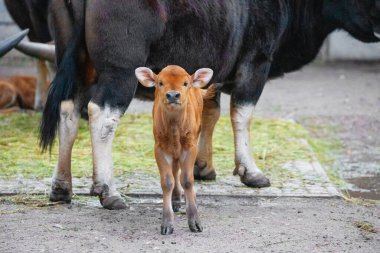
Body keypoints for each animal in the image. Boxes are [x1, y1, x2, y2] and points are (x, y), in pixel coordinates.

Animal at [41, 0, 380, 210]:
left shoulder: (211, 72)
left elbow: (210, 113)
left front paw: (202, 167)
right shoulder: (256, 61)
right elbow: (242, 114)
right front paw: (250, 171)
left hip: (74, 62)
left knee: (68, 111)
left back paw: (62, 187)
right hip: (119, 70)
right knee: (101, 115)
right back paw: (108, 191)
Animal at [136, 65, 214, 235]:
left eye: (185, 83)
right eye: (160, 83)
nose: (172, 95)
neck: (174, 128)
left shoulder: (190, 146)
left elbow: (188, 180)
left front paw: (195, 222)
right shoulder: (159, 147)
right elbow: (167, 181)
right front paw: (167, 224)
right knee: (175, 169)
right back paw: (176, 199)